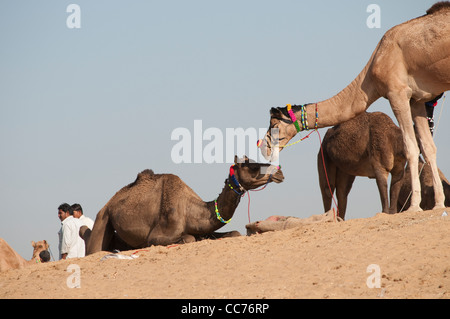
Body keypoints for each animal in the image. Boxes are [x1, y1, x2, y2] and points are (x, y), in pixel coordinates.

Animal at [83, 156, 284, 256]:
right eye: (252, 166)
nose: (279, 171)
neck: (191, 210)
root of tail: (108, 204)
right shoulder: (156, 235)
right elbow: (189, 238)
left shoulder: (204, 230)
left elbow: (233, 233)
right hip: (103, 218)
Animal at [258, 2, 450, 214]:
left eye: (274, 124)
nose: (263, 147)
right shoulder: (417, 99)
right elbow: (428, 147)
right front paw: (439, 204)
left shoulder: (397, 93)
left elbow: (411, 147)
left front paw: (414, 207)